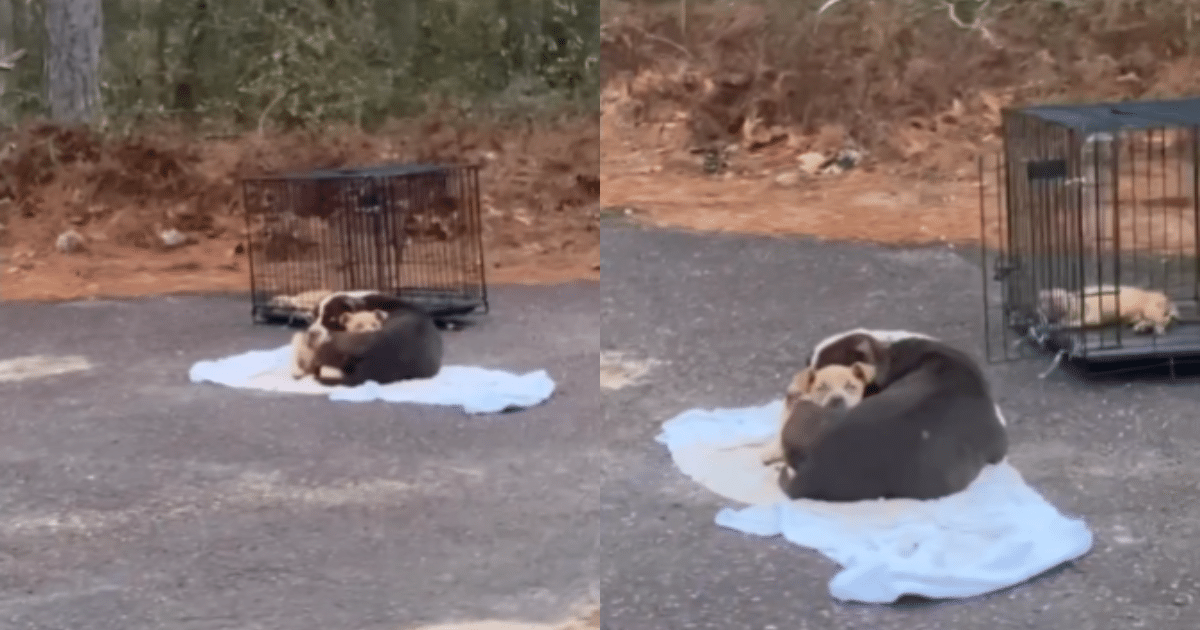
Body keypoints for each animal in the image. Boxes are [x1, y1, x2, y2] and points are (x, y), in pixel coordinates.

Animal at [1036, 284, 1176, 333]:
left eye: (1061, 294)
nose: (1043, 293)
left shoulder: (1092, 315)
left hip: (1151, 310)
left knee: (1165, 319)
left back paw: (1158, 328)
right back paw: (1141, 327)